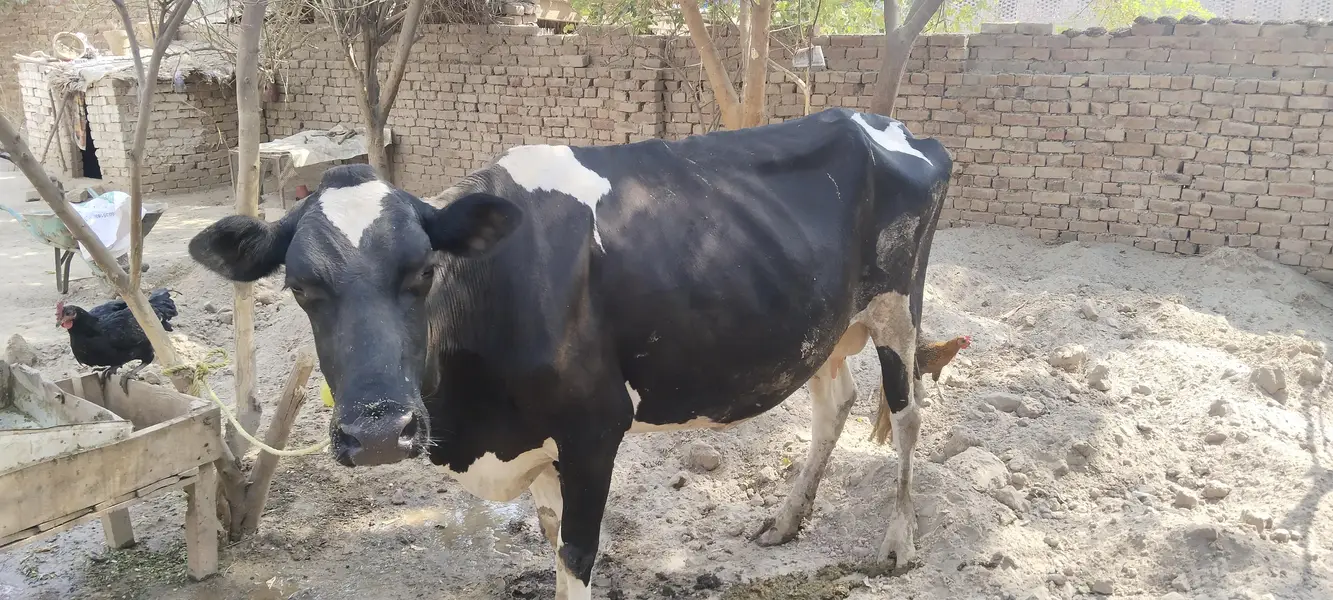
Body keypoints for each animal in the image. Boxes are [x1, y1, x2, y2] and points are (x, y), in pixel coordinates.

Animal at [188, 107, 952, 600]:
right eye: (301, 288)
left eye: (425, 271)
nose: (377, 432)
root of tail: (882, 124)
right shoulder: (539, 444)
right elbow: (553, 539)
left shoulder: (594, 428)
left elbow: (577, 554)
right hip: (823, 323)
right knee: (835, 403)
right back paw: (787, 521)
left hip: (898, 301)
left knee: (907, 412)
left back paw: (899, 543)